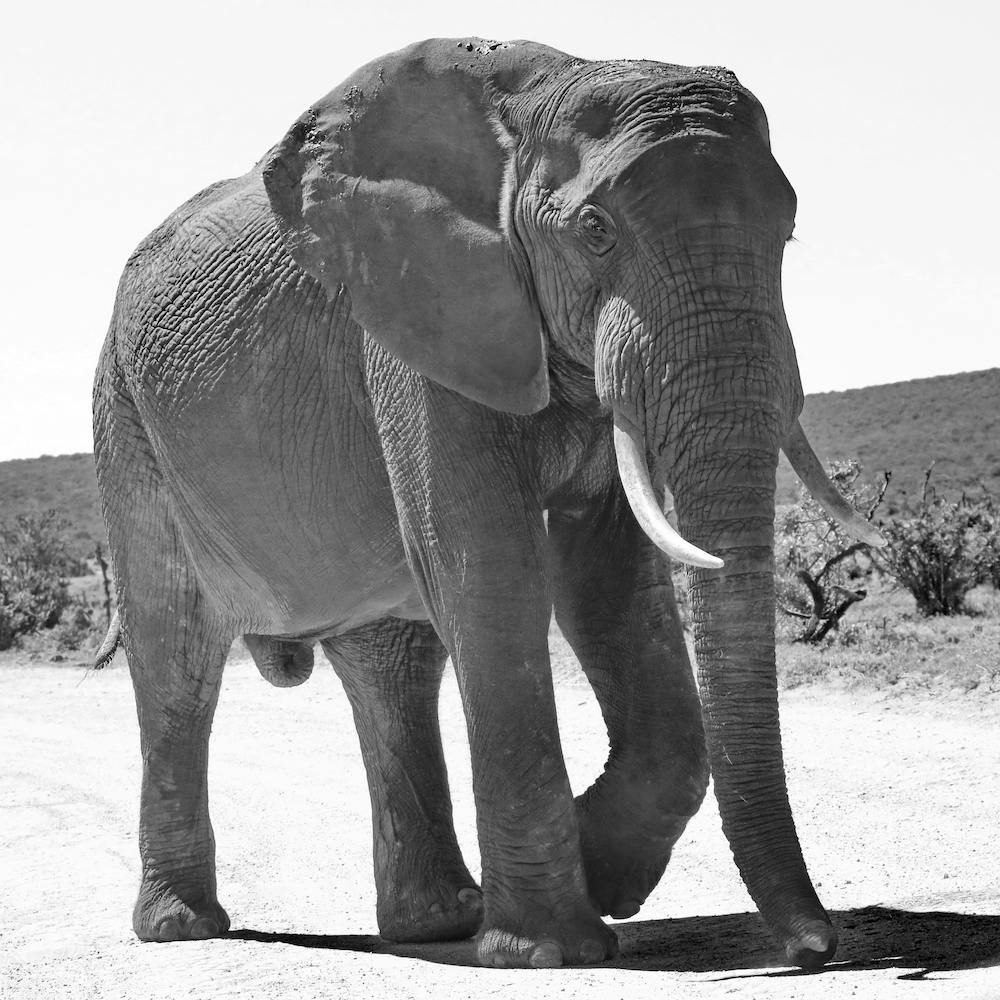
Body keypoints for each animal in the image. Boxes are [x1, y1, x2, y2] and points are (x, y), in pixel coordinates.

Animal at [93, 37, 881, 970]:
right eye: (595, 231)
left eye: (787, 230)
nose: (817, 945)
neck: (540, 98)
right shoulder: (421, 314)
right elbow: (488, 566)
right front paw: (553, 947)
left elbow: (606, 586)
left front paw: (601, 873)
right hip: (126, 421)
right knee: (176, 658)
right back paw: (181, 928)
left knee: (391, 667)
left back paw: (441, 920)